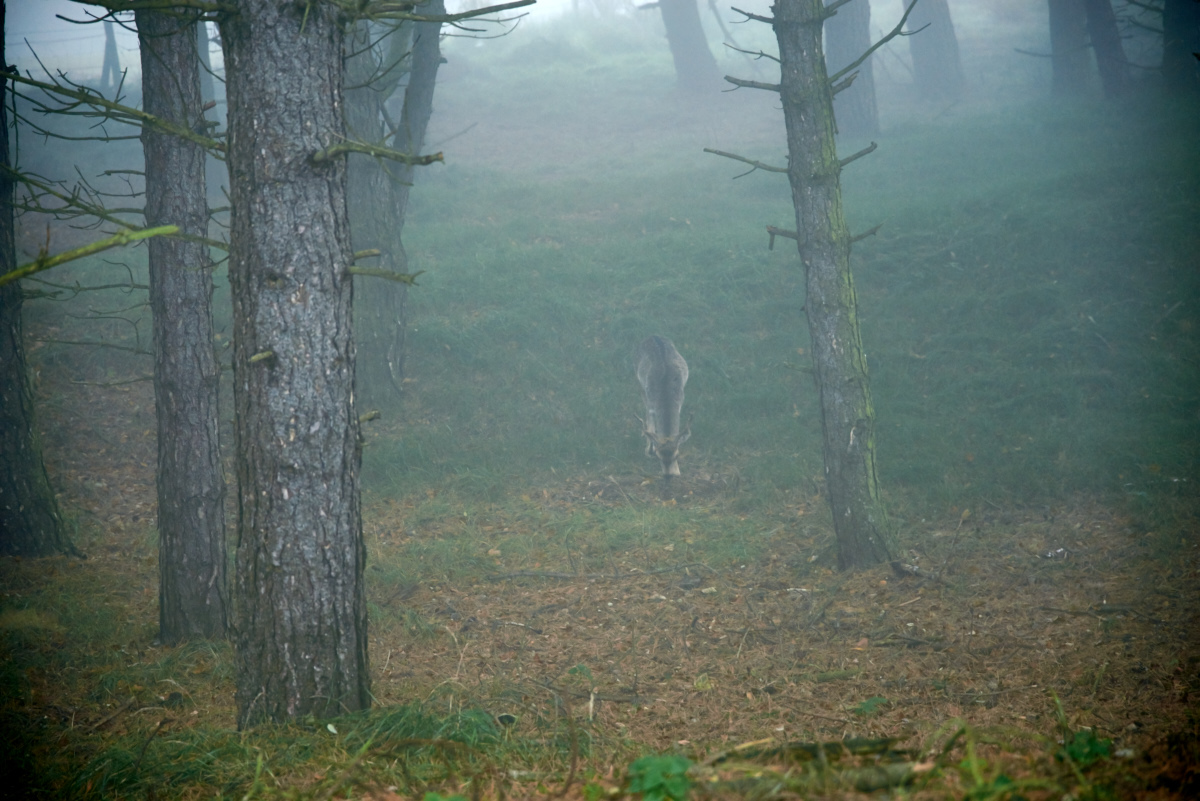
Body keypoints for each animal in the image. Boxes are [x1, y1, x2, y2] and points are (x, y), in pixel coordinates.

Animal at [633, 335, 691, 479]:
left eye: (677, 455)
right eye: (659, 457)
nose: (669, 475)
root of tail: (652, 336)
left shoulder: (680, 399)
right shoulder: (650, 401)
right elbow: (650, 422)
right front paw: (649, 449)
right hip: (637, 376)